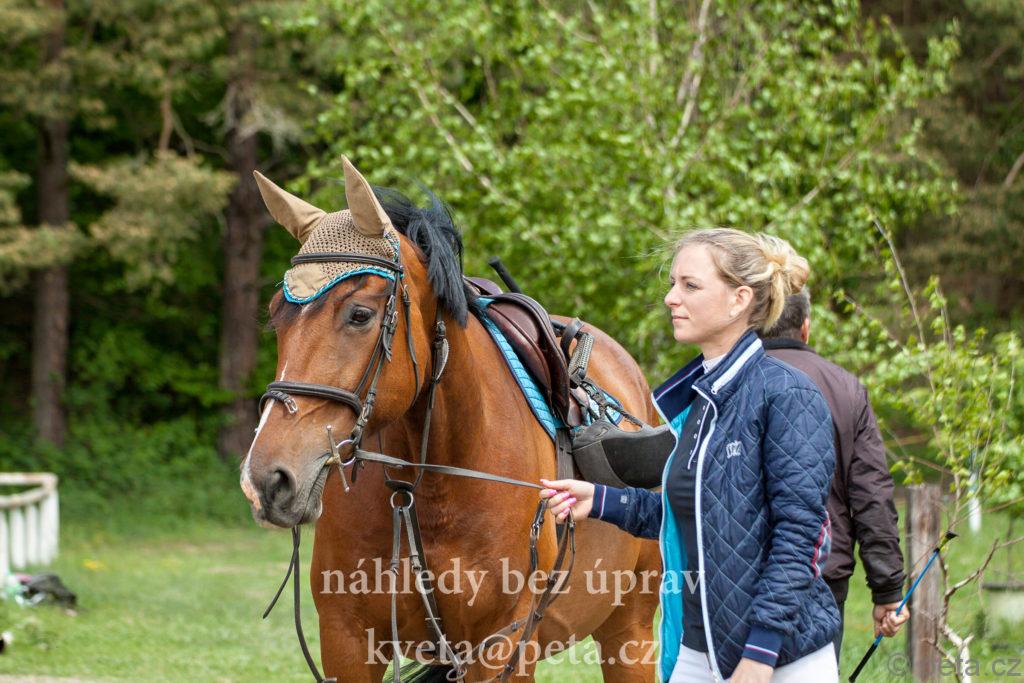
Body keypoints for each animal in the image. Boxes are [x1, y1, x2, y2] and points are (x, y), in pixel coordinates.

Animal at [240, 157, 662, 682]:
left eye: (359, 315)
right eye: (277, 316)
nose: (267, 477)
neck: (425, 485)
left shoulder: (501, 646)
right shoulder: (347, 640)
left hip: (630, 631)